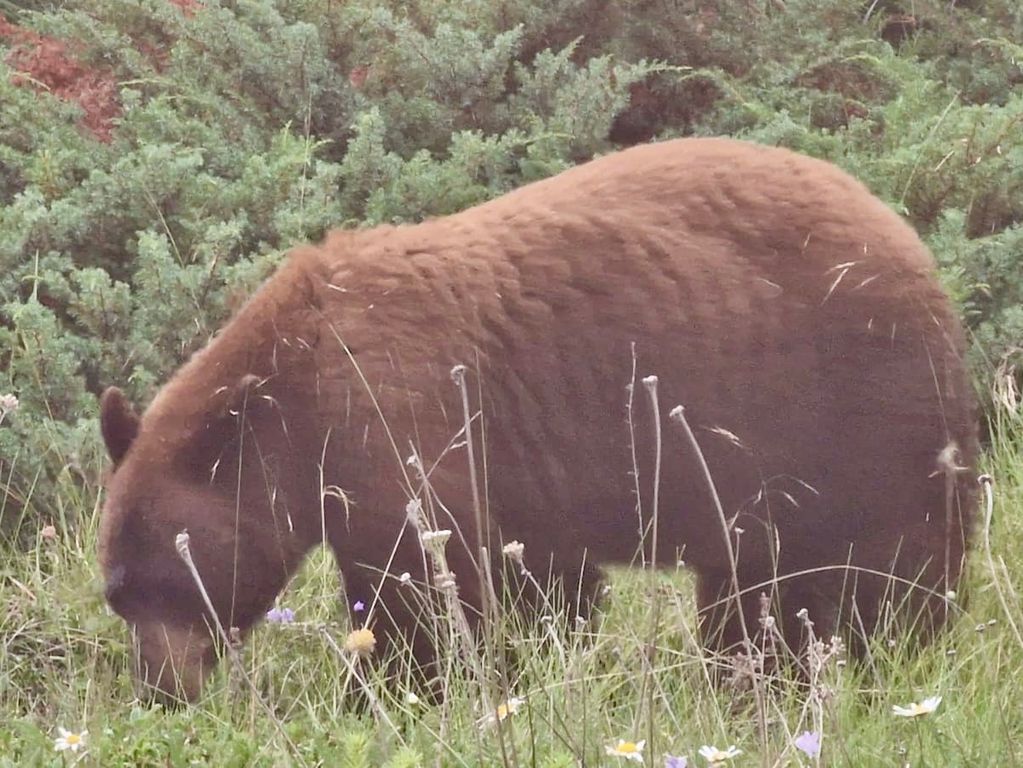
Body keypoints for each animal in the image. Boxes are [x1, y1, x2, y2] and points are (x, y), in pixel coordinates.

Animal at [99, 138, 977, 703]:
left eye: (153, 582)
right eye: (116, 594)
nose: (159, 692)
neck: (296, 390)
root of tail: (909, 239)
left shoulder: (398, 416)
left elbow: (426, 591)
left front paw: (397, 692)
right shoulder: (524, 487)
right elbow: (540, 585)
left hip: (858, 402)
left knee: (896, 562)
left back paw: (891, 658)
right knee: (753, 586)